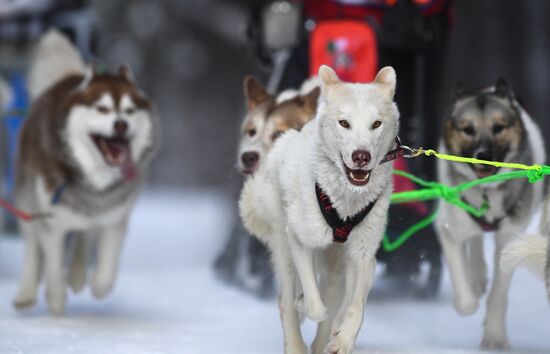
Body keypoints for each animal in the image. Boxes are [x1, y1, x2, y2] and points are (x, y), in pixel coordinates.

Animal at [12, 29, 160, 312]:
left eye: (129, 110)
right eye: (102, 109)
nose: (121, 124)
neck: (93, 181)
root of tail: (66, 79)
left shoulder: (113, 217)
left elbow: (105, 273)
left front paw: (96, 284)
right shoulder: (51, 221)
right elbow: (52, 264)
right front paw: (56, 300)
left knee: (84, 235)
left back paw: (78, 274)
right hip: (27, 200)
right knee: (32, 247)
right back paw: (25, 293)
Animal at [242, 65, 402, 352]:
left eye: (376, 124)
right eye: (344, 123)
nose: (361, 156)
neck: (345, 202)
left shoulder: (363, 253)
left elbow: (355, 306)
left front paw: (343, 338)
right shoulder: (300, 239)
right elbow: (315, 304)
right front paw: (305, 303)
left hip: (335, 262)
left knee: (333, 293)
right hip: (284, 246)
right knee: (286, 299)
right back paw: (296, 341)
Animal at [436, 79, 548, 348]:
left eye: (499, 128)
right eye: (467, 129)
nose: (483, 155)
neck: (486, 191)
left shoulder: (510, 238)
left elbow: (498, 293)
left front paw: (495, 336)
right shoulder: (448, 227)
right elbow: (464, 297)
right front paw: (469, 301)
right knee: (475, 239)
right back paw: (476, 276)